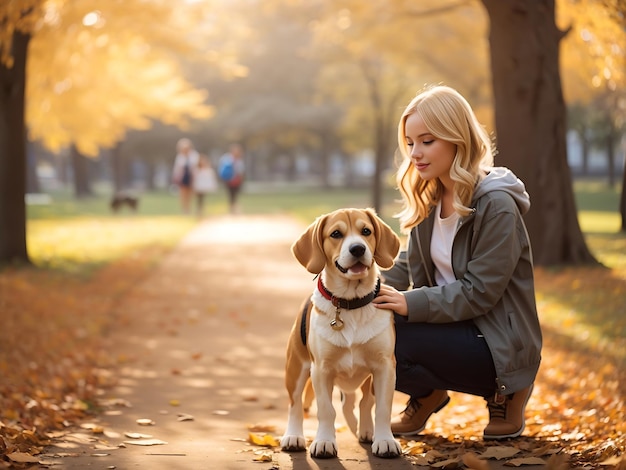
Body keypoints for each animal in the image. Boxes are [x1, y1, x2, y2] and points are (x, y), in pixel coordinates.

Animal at [280, 208, 400, 458]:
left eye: (366, 231)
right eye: (336, 234)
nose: (358, 249)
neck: (350, 303)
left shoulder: (385, 367)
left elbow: (382, 408)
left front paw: (385, 440)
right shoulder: (321, 370)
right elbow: (326, 410)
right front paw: (324, 441)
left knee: (360, 402)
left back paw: (365, 430)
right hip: (296, 369)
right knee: (295, 405)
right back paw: (293, 436)